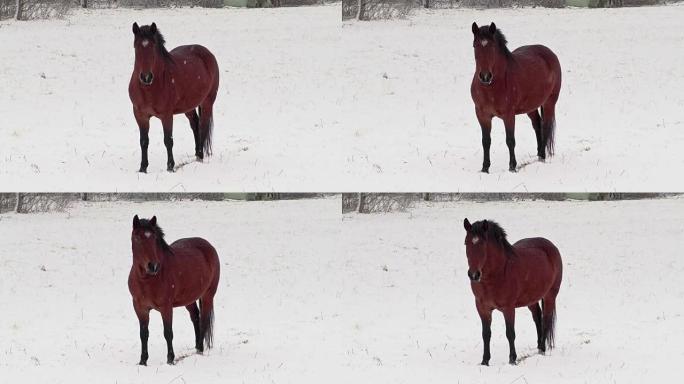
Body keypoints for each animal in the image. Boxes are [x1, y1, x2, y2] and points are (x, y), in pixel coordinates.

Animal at [127, 214, 219, 364]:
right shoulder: (140, 308)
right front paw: (143, 361)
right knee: (196, 318)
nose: (153, 266)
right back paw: (197, 348)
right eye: (137, 238)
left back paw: (200, 350)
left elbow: (168, 333)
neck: (146, 279)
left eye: (154, 238)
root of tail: (208, 246)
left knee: (204, 320)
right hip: (189, 299)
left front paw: (170, 359)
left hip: (208, 296)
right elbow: (143, 334)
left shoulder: (166, 308)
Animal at [130, 22, 220, 172]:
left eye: (153, 47)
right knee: (195, 125)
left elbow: (168, 140)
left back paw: (200, 156)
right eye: (136, 47)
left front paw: (170, 167)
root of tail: (207, 53)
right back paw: (197, 155)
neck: (149, 88)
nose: (146, 77)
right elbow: (144, 141)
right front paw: (143, 168)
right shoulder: (140, 115)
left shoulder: (167, 115)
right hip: (188, 106)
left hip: (207, 102)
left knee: (202, 126)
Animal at [462, 219, 564, 366]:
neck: (498, 272)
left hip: (550, 295)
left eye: (482, 244)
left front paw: (512, 360)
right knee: (537, 318)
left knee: (545, 319)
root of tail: (551, 246)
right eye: (466, 243)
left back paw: (543, 350)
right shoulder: (482, 308)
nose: (474, 275)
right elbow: (486, 334)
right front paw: (485, 361)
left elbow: (510, 333)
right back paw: (539, 348)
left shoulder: (508, 308)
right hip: (531, 299)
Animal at [470, 23, 560, 173]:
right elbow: (486, 141)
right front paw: (485, 168)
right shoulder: (482, 115)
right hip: (531, 107)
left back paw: (542, 157)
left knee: (545, 126)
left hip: (549, 103)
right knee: (537, 125)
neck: (492, 86)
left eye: (492, 47)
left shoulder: (509, 115)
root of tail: (549, 53)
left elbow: (510, 140)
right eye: (475, 45)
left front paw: (512, 167)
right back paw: (539, 155)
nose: (485, 76)